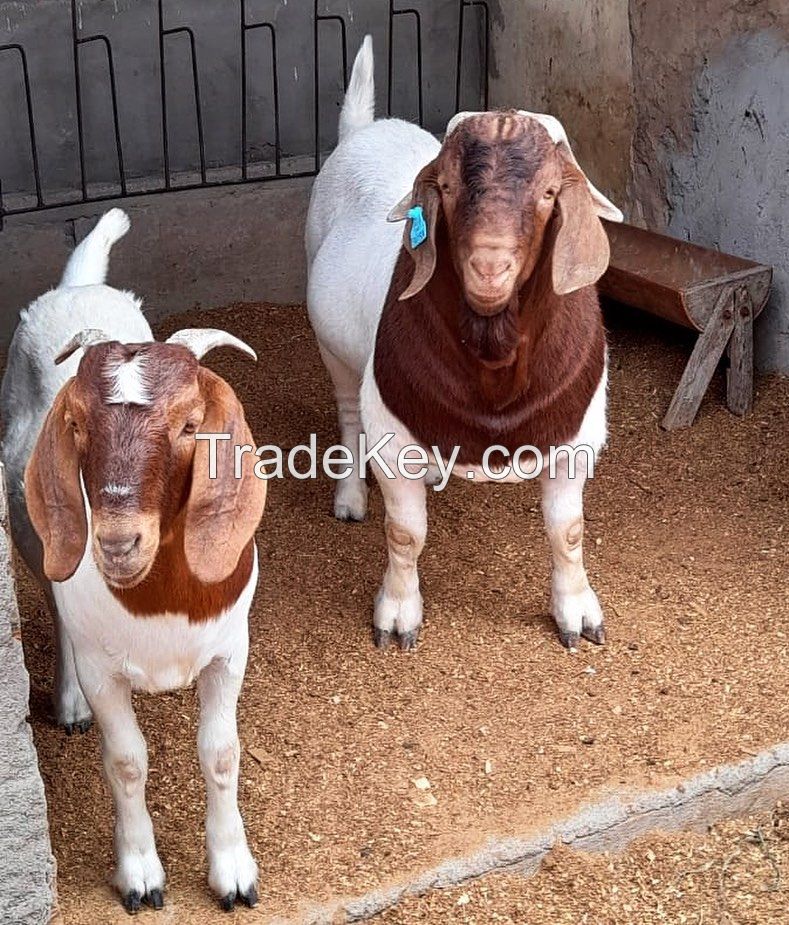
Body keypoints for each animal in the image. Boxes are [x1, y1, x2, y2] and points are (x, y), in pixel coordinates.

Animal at [0, 210, 266, 912]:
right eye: (78, 425)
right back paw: (67, 704)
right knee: (56, 606)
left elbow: (221, 753)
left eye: (190, 424)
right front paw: (141, 874)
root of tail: (79, 284)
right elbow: (126, 760)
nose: (118, 543)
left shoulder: (229, 651)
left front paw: (233, 872)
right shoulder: (105, 670)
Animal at [306, 37, 623, 651]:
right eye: (447, 188)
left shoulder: (574, 440)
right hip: (336, 351)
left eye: (549, 192)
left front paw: (577, 614)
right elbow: (405, 534)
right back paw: (350, 496)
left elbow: (568, 532)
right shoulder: (393, 431)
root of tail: (365, 128)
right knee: (349, 411)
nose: (489, 267)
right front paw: (397, 615)